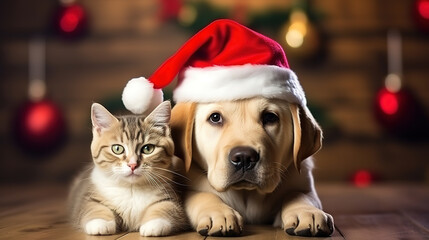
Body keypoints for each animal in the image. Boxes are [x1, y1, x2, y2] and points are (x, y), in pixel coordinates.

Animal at [67, 101, 186, 236]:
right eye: (117, 149)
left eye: (148, 148)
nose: (133, 164)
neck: (131, 188)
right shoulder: (87, 198)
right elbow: (92, 207)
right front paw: (100, 222)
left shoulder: (170, 197)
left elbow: (167, 207)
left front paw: (154, 224)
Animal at [171, 97, 334, 236]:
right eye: (215, 117)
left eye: (270, 117)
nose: (244, 158)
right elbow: (200, 195)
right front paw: (218, 213)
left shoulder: (304, 183)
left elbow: (299, 194)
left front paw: (307, 212)